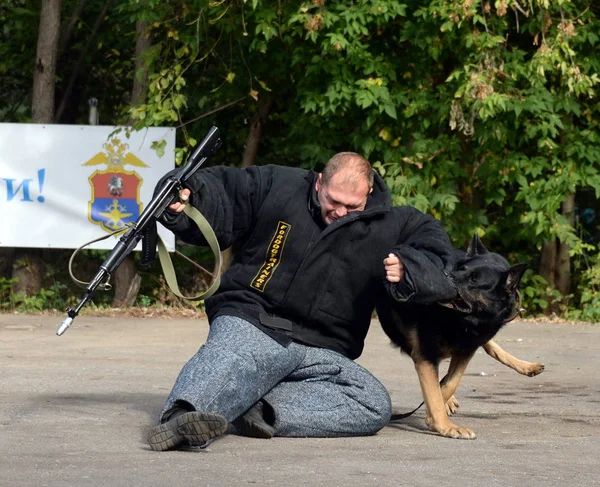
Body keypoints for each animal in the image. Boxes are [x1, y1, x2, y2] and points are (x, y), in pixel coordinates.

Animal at [380, 234, 544, 440]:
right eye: (460, 269)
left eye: (474, 280)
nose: (444, 275)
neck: (462, 320)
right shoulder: (426, 354)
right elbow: (435, 390)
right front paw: (444, 426)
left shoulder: (465, 350)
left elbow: (450, 383)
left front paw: (437, 413)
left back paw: (526, 366)